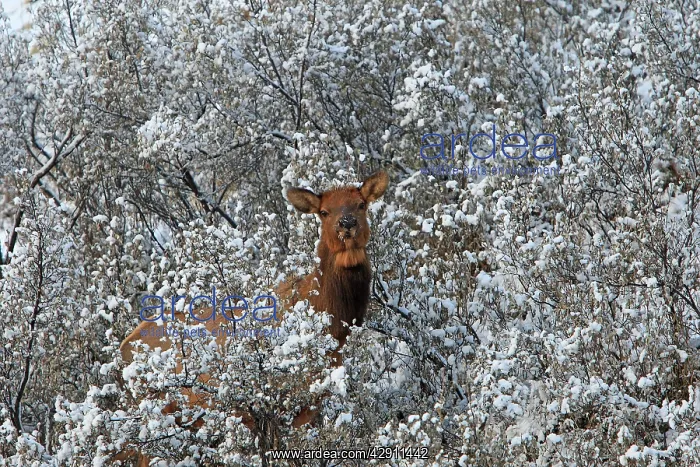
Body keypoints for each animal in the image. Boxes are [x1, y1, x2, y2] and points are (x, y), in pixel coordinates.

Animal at [115, 171, 389, 465]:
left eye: (361, 204)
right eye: (324, 211)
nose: (347, 224)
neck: (332, 327)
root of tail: (123, 348)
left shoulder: (310, 403)